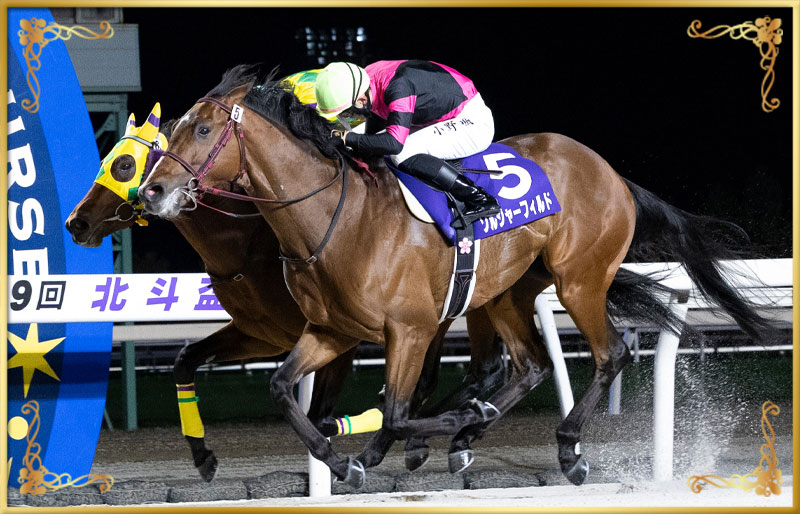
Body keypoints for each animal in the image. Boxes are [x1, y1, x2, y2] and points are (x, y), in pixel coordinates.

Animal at [65, 105, 508, 481]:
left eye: (123, 165)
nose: (76, 222)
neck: (247, 242)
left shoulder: (345, 333)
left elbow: (323, 412)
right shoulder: (262, 334)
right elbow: (185, 360)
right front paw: (203, 455)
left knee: (469, 373)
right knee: (477, 371)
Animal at [138, 65, 773, 488]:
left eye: (200, 131)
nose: (153, 191)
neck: (338, 220)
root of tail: (608, 172)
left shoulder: (410, 330)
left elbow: (397, 411)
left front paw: (403, 438)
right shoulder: (332, 331)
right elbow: (281, 388)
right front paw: (342, 459)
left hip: (579, 279)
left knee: (608, 353)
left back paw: (563, 448)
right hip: (509, 292)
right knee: (531, 364)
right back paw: (467, 438)